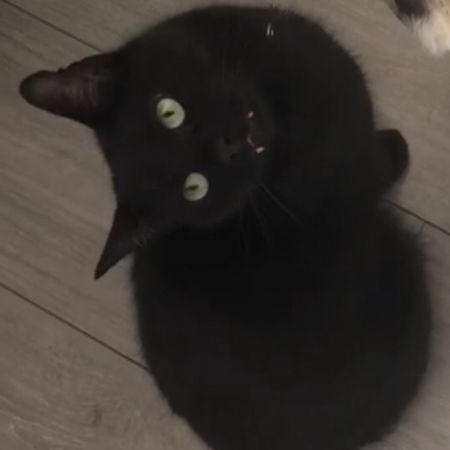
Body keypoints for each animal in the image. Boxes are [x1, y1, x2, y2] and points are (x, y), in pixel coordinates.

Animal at [19, 6, 431, 450]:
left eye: (168, 112)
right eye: (195, 188)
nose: (228, 144)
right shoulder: (354, 167)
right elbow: (375, 162)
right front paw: (396, 147)